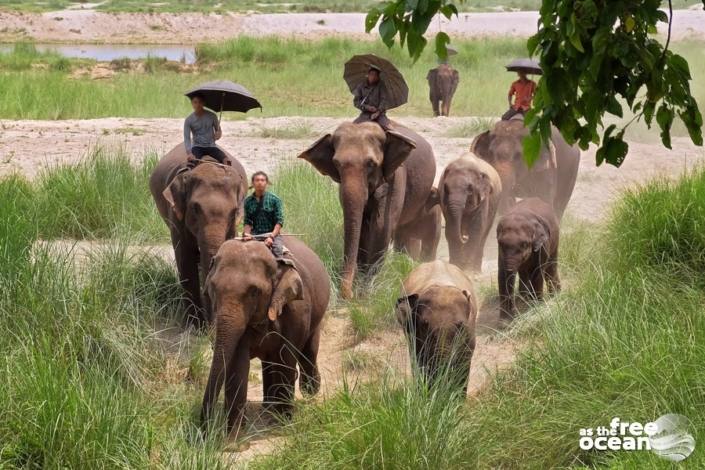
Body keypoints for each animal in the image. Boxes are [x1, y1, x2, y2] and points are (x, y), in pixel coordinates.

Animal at [148, 143, 248, 326]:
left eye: (234, 212)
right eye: (195, 208)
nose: (210, 325)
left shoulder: (232, 226)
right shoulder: (177, 215)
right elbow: (185, 259)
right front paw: (195, 325)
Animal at [199, 237, 328, 438]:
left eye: (254, 291)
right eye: (212, 288)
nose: (203, 433)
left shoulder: (296, 309)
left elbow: (286, 357)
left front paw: (283, 423)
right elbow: (238, 363)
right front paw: (234, 436)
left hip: (316, 313)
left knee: (309, 352)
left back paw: (309, 392)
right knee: (269, 361)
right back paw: (267, 407)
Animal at [300, 121, 438, 298]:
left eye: (371, 164)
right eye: (336, 164)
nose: (349, 295)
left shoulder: (395, 179)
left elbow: (379, 227)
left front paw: (366, 291)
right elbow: (362, 228)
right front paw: (360, 283)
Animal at [394, 260, 476, 392]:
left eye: (461, 326)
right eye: (424, 325)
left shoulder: (469, 331)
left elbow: (463, 365)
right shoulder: (415, 335)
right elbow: (422, 362)